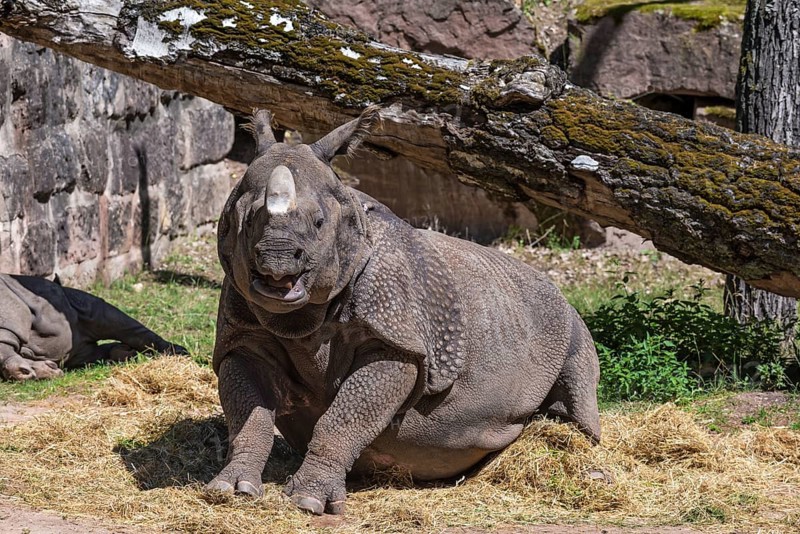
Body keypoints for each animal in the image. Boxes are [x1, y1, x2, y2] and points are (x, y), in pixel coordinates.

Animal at [208, 107, 600, 515]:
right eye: (245, 221)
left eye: (319, 223)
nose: (277, 259)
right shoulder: (243, 336)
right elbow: (249, 413)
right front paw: (233, 489)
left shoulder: (395, 339)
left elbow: (345, 416)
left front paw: (307, 502)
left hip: (564, 317)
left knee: (579, 391)